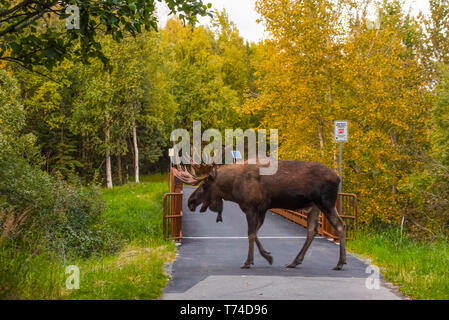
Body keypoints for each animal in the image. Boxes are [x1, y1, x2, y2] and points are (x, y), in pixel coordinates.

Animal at [172, 160, 346, 270]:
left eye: (204, 185)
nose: (190, 202)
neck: (233, 188)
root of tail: (338, 178)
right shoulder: (262, 208)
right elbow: (255, 233)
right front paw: (267, 256)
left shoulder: (250, 206)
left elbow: (250, 234)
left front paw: (249, 261)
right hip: (314, 206)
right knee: (312, 230)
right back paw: (294, 262)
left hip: (326, 202)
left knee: (340, 225)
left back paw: (340, 263)